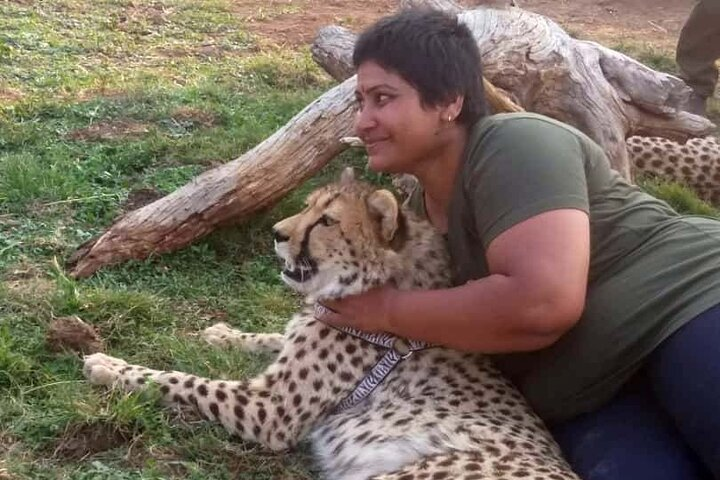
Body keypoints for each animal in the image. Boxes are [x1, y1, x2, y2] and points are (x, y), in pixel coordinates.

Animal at [82, 167, 579, 480]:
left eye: (325, 221)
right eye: (307, 207)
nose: (277, 234)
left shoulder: (270, 409)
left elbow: (180, 379)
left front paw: (109, 366)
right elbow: (271, 335)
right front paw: (221, 333)